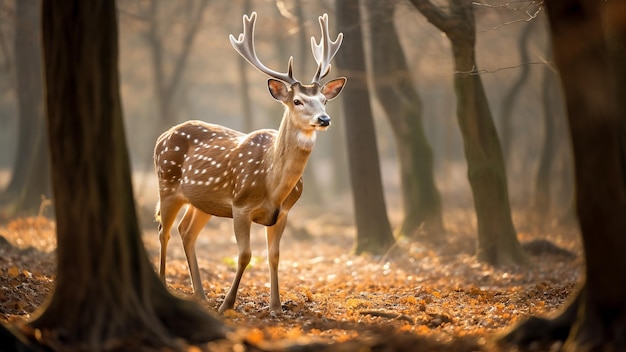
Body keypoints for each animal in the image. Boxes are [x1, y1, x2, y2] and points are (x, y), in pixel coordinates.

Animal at [153, 11, 344, 314]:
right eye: (298, 101)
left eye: (324, 100)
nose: (324, 119)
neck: (272, 184)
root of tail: (162, 135)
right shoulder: (240, 205)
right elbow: (244, 255)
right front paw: (227, 305)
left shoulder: (284, 213)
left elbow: (274, 256)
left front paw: (276, 307)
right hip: (167, 182)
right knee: (164, 231)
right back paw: (168, 283)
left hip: (202, 201)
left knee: (186, 231)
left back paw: (201, 294)